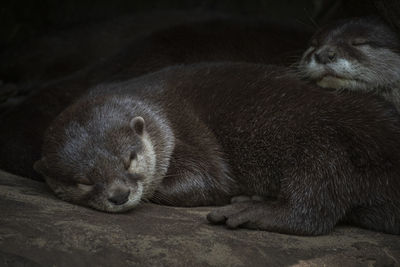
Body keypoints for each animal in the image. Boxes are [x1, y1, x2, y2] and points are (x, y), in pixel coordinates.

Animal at [34, 63, 400, 237]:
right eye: (83, 181)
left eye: (131, 159)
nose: (119, 195)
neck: (158, 112)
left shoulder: (186, 134)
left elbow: (209, 181)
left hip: (325, 142)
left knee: (315, 207)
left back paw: (251, 209)